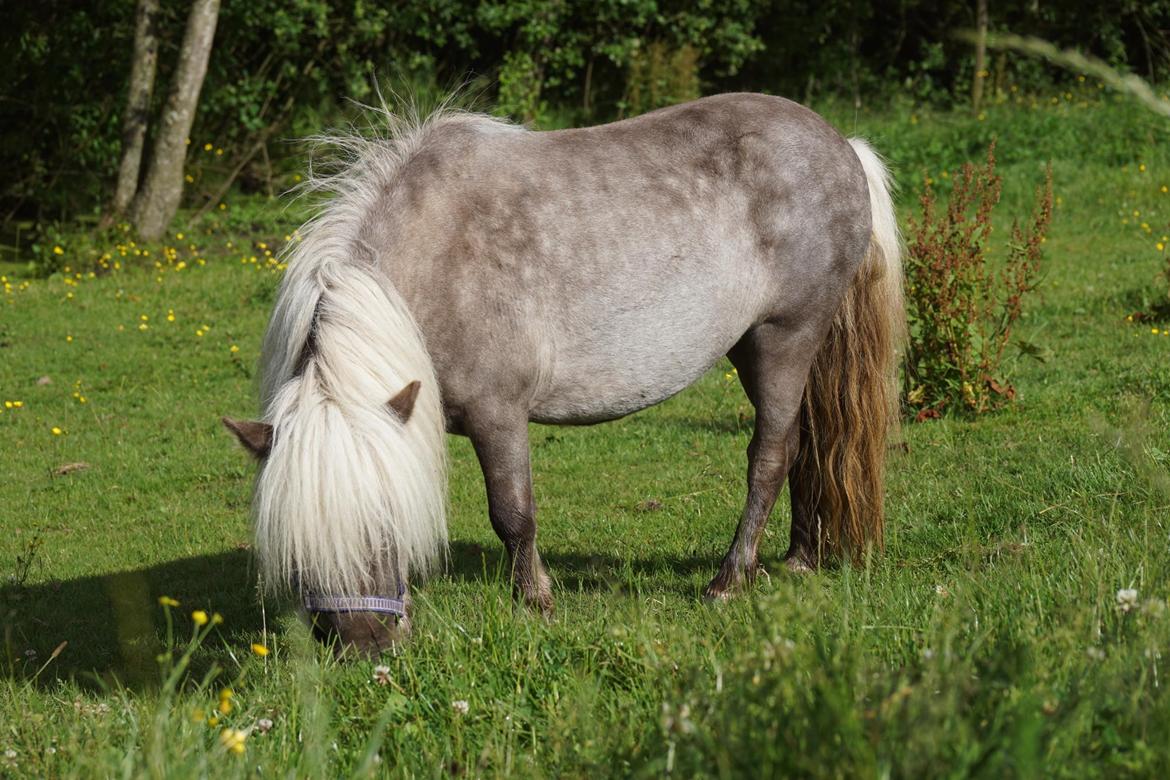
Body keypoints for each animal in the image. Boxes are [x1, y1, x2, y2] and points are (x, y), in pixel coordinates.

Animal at [225, 94, 903, 654]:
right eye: (298, 546)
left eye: (384, 521)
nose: (363, 647)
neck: (436, 265)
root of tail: (843, 145)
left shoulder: (499, 416)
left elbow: (512, 514)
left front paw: (536, 603)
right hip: (758, 349)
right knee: (806, 445)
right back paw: (799, 559)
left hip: (784, 339)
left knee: (772, 454)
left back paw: (730, 580)